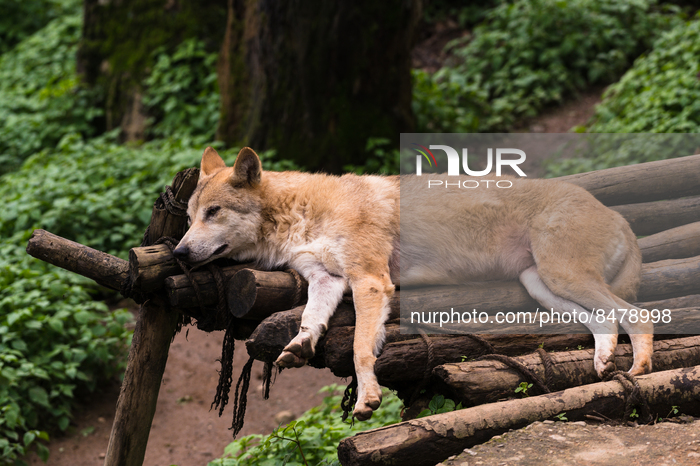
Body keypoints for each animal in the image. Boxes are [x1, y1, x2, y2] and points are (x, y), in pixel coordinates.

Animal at [173, 146, 653, 420]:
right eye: (190, 217)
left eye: (213, 212)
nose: (178, 253)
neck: (300, 214)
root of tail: (619, 216)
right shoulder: (329, 281)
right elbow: (310, 320)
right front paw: (299, 347)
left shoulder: (369, 282)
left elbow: (360, 349)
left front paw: (368, 398)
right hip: (543, 286)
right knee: (606, 324)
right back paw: (603, 366)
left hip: (561, 278)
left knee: (638, 317)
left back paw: (640, 370)